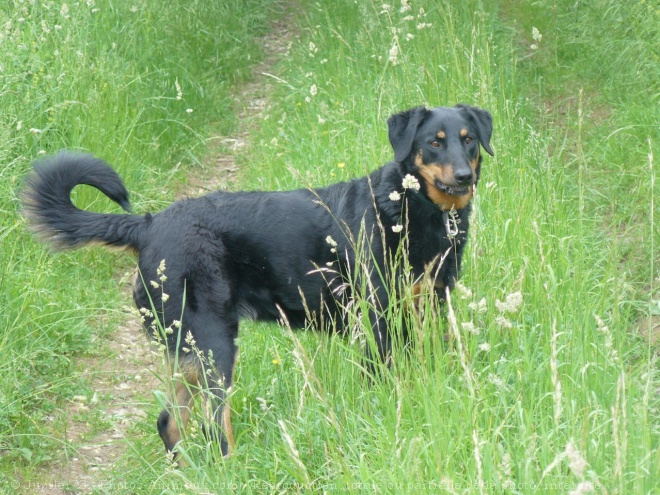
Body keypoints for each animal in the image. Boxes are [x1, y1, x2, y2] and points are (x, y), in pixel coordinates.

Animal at [20, 103, 492, 458]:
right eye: (434, 142)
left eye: (468, 138)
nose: (464, 176)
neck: (410, 207)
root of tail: (149, 224)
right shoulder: (376, 321)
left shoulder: (429, 310)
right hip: (214, 345)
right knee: (214, 424)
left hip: (188, 350)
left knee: (170, 422)